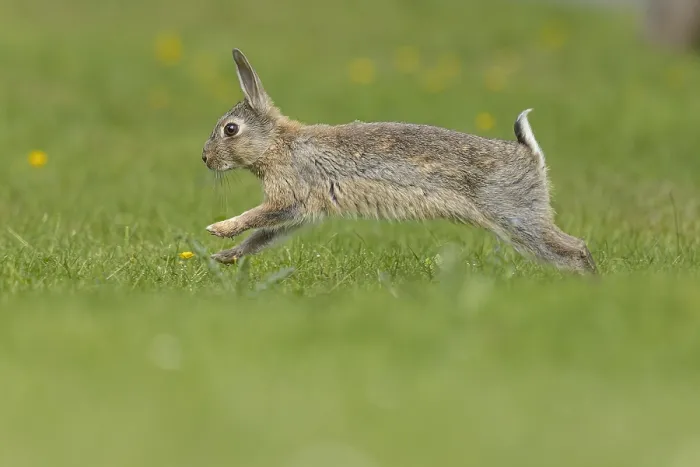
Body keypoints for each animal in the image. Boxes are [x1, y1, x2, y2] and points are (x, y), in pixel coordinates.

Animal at [200, 48, 597, 274]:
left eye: (230, 130)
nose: (204, 158)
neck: (277, 144)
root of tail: (530, 155)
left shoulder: (289, 194)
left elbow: (256, 218)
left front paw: (218, 229)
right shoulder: (301, 211)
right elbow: (263, 237)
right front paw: (226, 257)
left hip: (514, 215)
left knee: (571, 248)